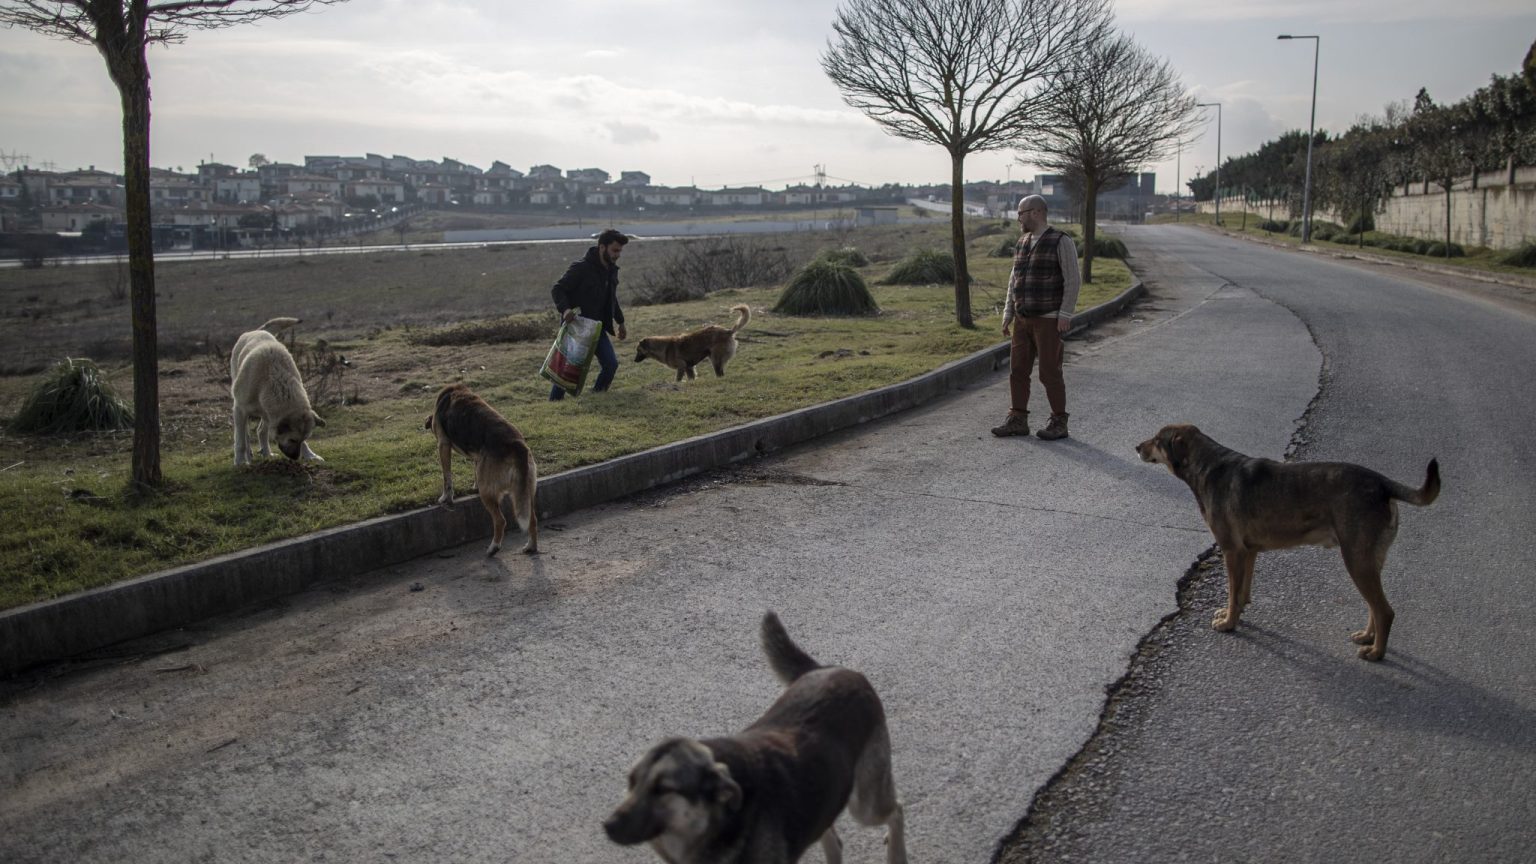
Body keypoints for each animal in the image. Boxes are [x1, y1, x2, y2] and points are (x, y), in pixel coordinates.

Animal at [225, 316, 322, 464]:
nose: (295, 458)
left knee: (261, 431)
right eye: (292, 440)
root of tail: (256, 331)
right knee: (245, 435)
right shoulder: (240, 409)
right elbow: (240, 441)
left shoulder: (271, 412)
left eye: (302, 439)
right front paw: (240, 462)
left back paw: (267, 453)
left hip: (266, 414)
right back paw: (249, 456)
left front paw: (310, 455)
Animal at [423, 379, 537, 553]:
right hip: (523, 493)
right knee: (532, 520)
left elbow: (447, 477)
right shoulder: (478, 458)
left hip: (489, 493)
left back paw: (494, 547)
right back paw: (531, 546)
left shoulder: (443, 444)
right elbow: (474, 471)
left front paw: (446, 497)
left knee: (500, 520)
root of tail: (517, 445)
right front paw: (473, 486)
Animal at [602, 608, 909, 854]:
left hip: (866, 804)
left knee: (896, 810)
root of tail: (829, 668)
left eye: (663, 788)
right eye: (631, 782)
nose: (609, 825)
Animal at [1142, 424, 1437, 657]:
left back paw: (1376, 653)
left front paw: (1228, 624)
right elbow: (1241, 593)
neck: (1209, 465)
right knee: (1374, 607)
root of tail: (1382, 484)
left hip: (1356, 561)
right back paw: (1367, 637)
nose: (1136, 447)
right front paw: (1234, 614)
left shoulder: (1231, 551)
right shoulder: (1248, 552)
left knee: (1384, 611)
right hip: (1369, 561)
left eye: (1157, 439)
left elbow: (1232, 592)